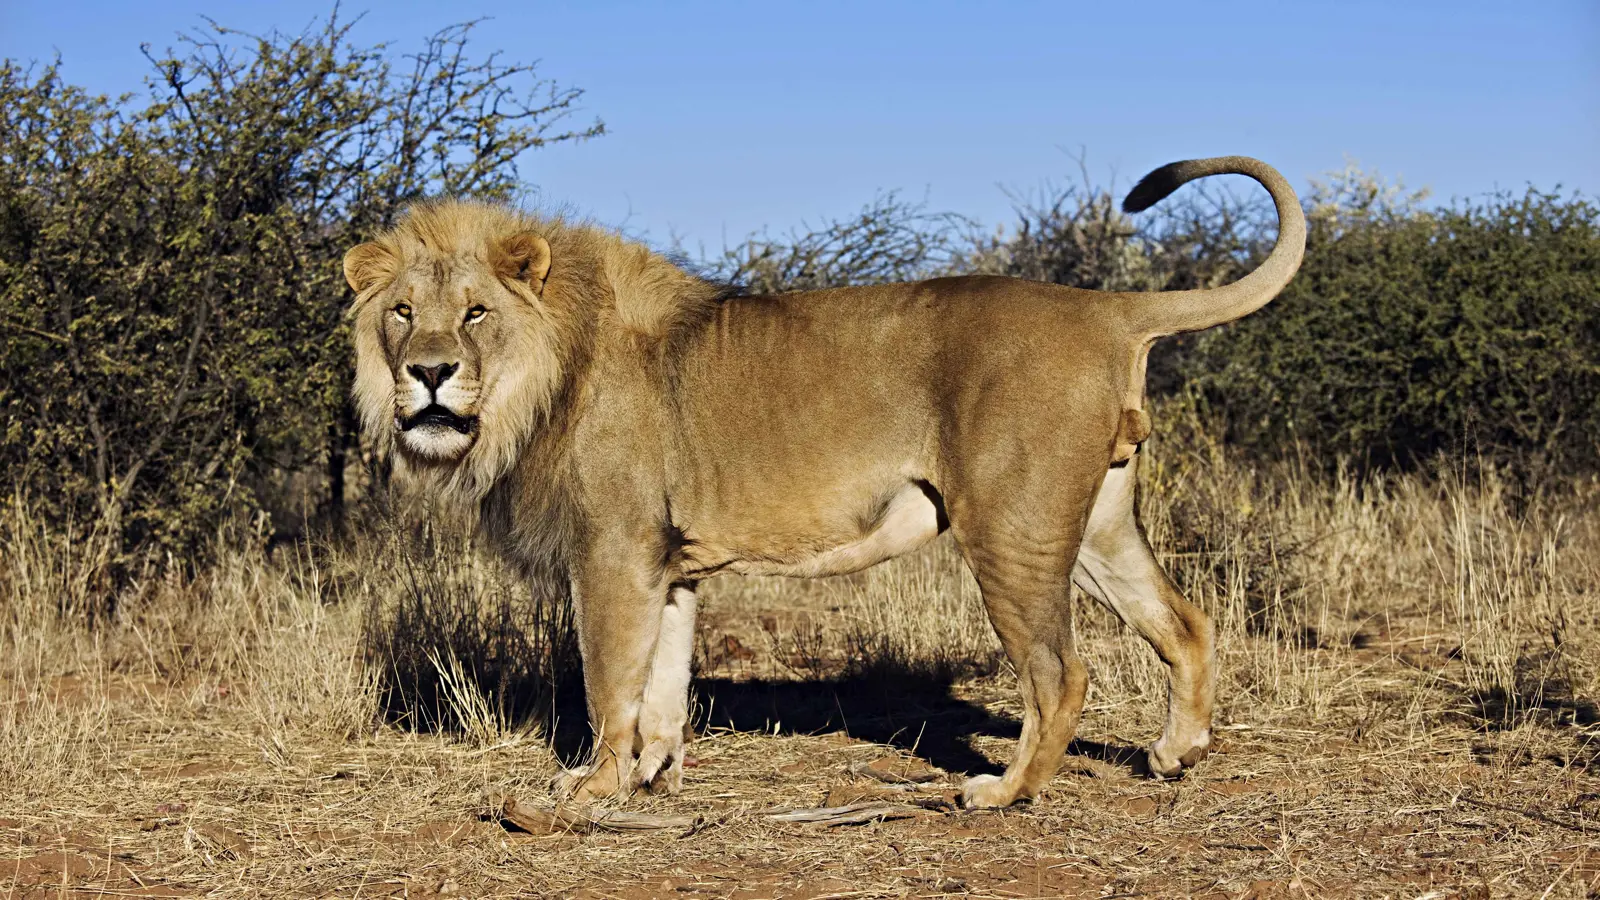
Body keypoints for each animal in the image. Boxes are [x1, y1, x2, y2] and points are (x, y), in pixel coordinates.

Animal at [347, 153, 1299, 807]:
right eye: (402, 312)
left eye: (476, 313)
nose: (428, 372)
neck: (544, 375)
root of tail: (1103, 306)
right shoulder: (670, 563)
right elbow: (663, 685)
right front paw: (656, 775)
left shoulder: (613, 551)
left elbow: (608, 680)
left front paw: (593, 787)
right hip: (1096, 524)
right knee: (1184, 622)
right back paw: (1176, 753)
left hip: (1009, 528)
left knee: (1059, 672)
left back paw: (1005, 792)